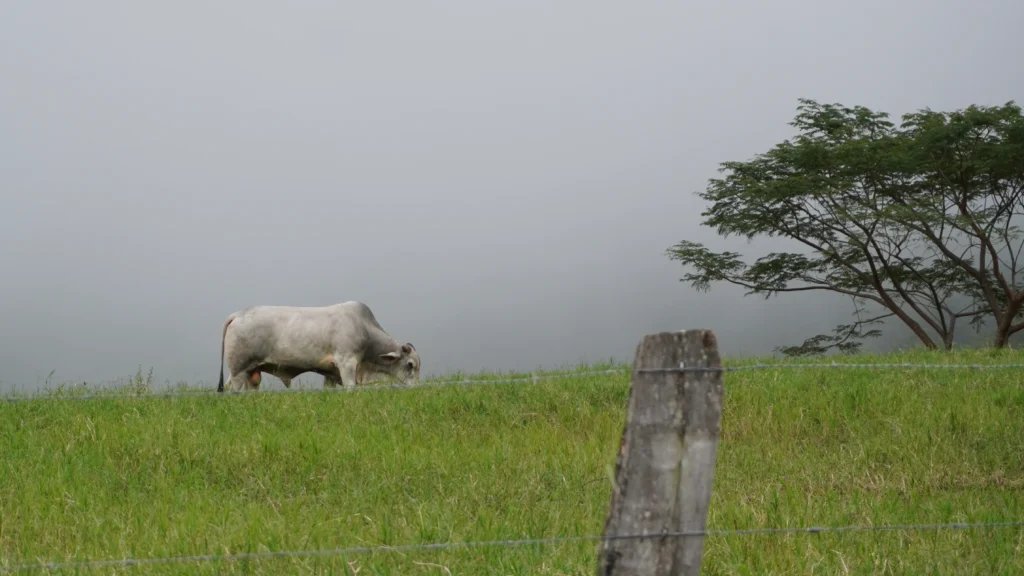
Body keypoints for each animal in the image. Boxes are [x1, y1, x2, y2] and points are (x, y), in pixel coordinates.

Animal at [216, 301, 419, 389]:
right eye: (410, 365)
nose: (416, 388)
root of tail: (239, 314)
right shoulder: (347, 363)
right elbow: (350, 387)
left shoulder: (331, 372)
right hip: (239, 371)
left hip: (252, 373)